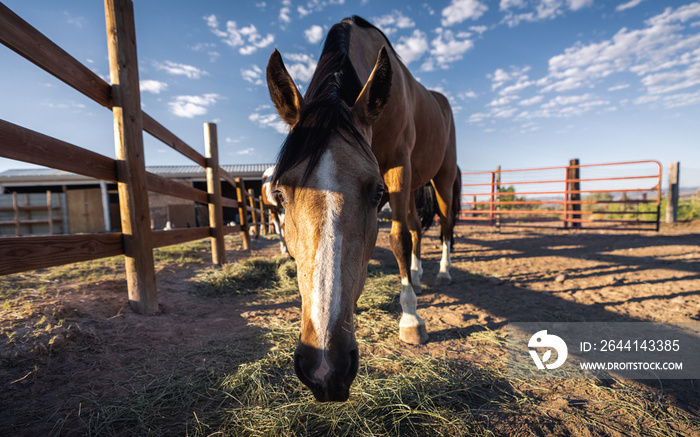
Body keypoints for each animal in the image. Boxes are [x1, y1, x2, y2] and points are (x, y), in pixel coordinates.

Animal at [266, 16, 456, 398]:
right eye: (280, 194)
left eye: (376, 192)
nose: (324, 367)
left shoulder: (397, 168)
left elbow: (398, 240)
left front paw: (411, 319)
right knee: (417, 226)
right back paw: (417, 276)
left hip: (441, 179)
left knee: (442, 226)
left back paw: (443, 272)